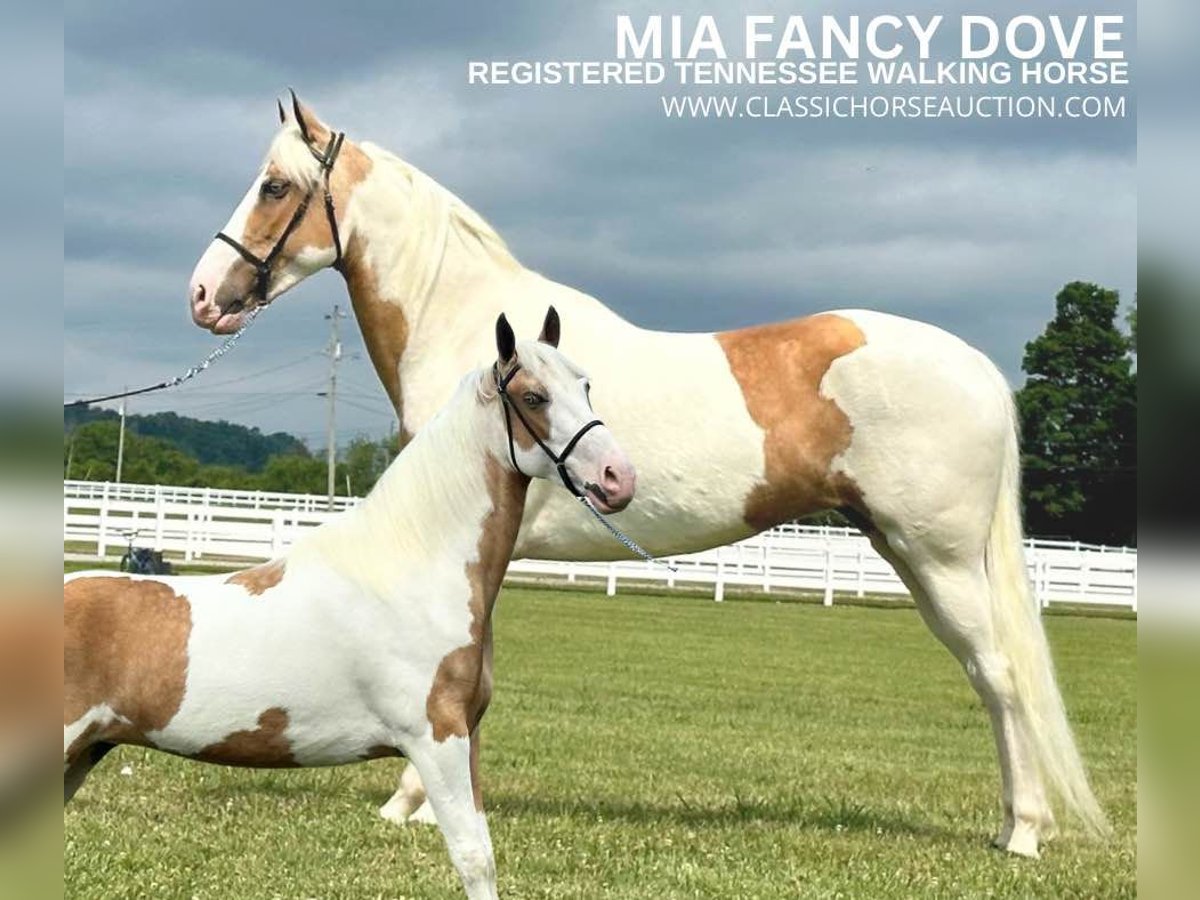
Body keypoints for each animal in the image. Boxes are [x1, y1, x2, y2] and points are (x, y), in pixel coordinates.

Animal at [63, 309, 638, 900]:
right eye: (533, 397)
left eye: (586, 386)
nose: (619, 477)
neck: (413, 564)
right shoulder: (436, 740)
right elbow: (474, 857)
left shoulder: (468, 737)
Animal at [184, 93, 1104, 859]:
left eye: (273, 186)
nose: (203, 294)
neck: (480, 345)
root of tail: (976, 366)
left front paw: (409, 802)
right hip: (911, 556)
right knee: (987, 679)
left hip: (939, 558)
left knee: (1001, 677)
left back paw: (1025, 834)